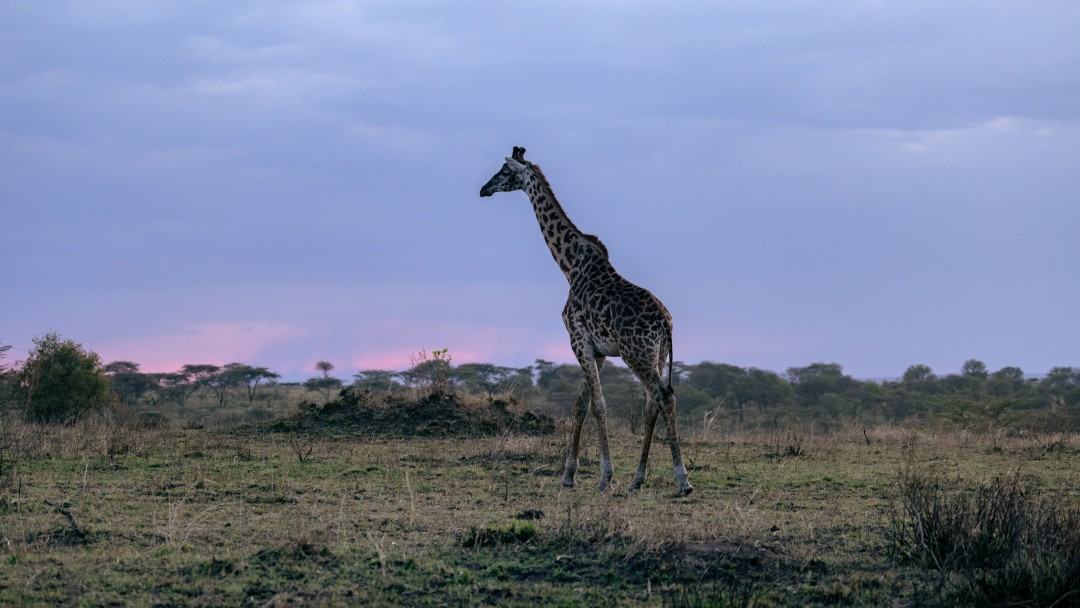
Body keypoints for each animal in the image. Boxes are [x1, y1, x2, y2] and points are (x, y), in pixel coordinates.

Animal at [479, 145, 691, 494]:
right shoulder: (598, 350)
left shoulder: (577, 339)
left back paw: (682, 480)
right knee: (652, 403)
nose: (484, 189)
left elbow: (599, 405)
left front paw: (605, 478)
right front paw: (568, 476)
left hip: (637, 353)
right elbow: (581, 405)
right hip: (657, 355)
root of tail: (666, 323)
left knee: (664, 397)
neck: (570, 266)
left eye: (505, 171)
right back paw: (638, 480)